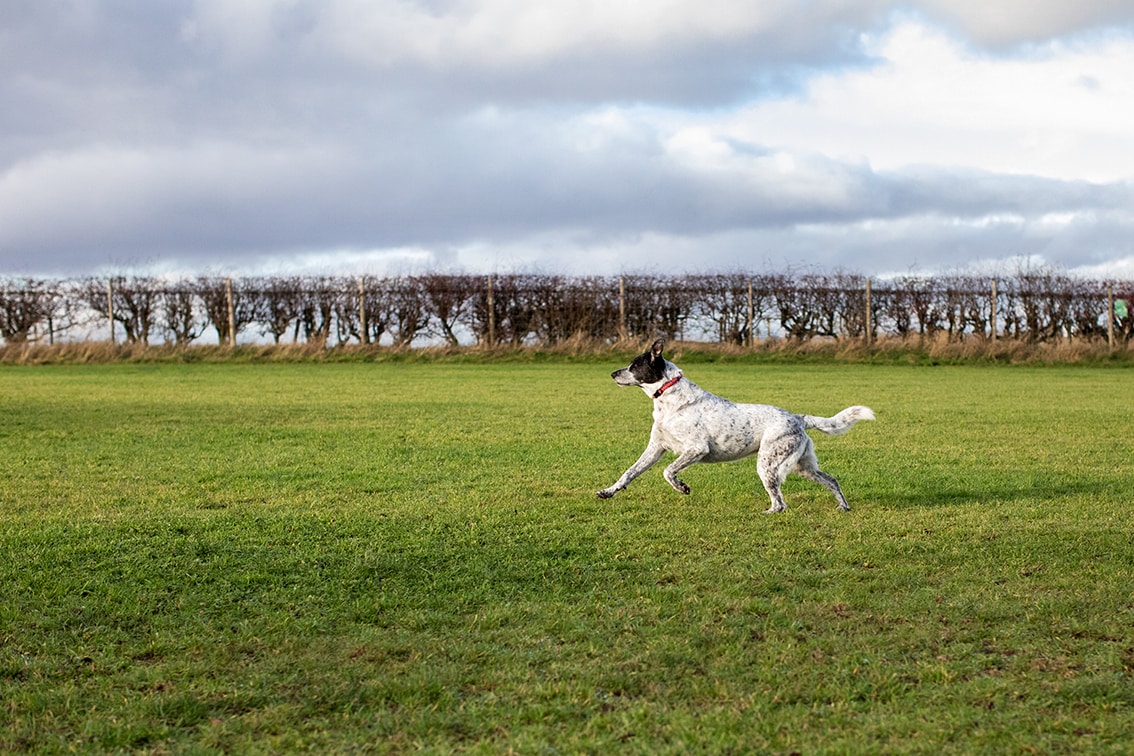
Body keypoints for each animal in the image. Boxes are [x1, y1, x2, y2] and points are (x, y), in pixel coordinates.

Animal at [598, 342, 870, 514]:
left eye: (634, 365)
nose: (611, 374)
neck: (669, 398)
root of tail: (798, 418)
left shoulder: (696, 449)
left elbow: (668, 472)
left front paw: (682, 487)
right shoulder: (656, 448)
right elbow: (629, 473)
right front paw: (609, 491)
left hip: (768, 465)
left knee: (780, 503)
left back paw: (767, 513)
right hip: (803, 467)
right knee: (831, 480)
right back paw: (843, 507)